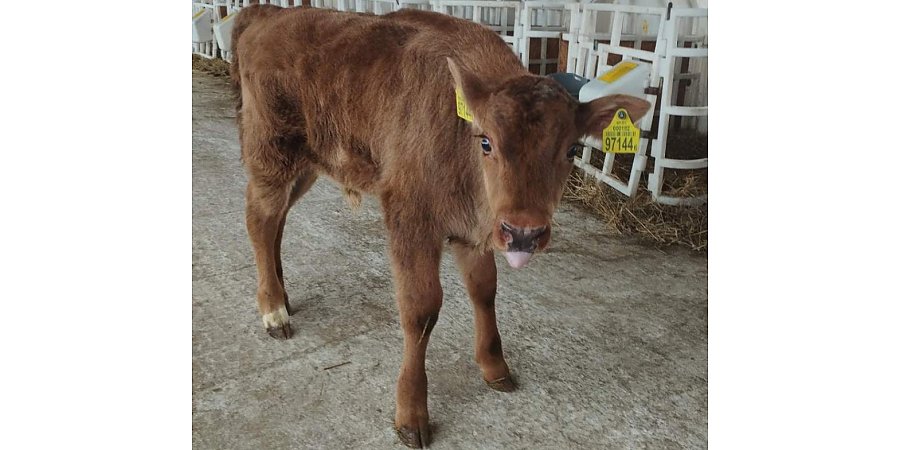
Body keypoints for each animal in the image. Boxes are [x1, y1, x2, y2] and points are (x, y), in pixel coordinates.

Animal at [230, 4, 650, 447]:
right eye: (486, 141)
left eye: (571, 149)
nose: (524, 232)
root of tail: (266, 13)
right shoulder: (412, 224)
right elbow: (421, 310)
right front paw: (411, 415)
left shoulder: (474, 232)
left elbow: (484, 290)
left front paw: (495, 368)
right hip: (271, 155)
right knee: (259, 219)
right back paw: (275, 312)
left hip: (307, 165)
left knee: (276, 222)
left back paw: (282, 295)